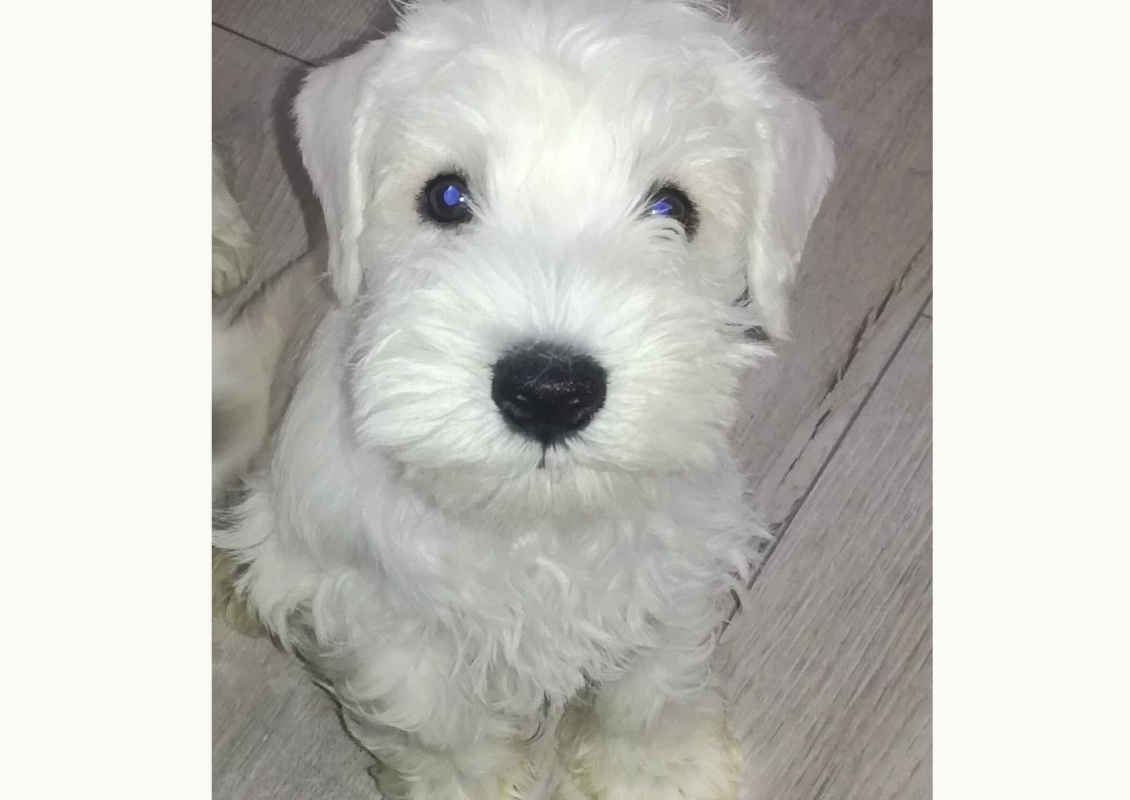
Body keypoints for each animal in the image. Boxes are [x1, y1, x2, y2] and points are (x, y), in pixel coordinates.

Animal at [212, 1, 834, 797]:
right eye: (446, 196)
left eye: (672, 207)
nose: (549, 390)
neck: (535, 524)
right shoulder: (378, 615)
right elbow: (435, 723)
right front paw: (466, 782)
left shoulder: (673, 562)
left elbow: (649, 687)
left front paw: (659, 770)